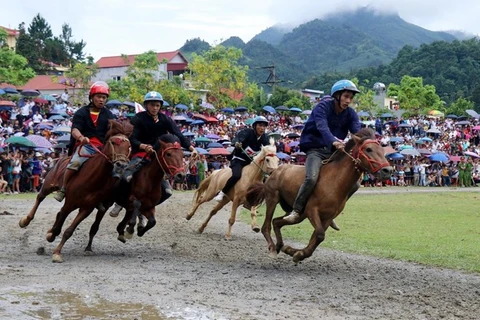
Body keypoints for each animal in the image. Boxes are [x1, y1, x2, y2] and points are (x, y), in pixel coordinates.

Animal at [19, 120, 133, 262]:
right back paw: (25, 220)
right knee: (40, 198)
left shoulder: (87, 208)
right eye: (113, 142)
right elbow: (59, 224)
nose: (121, 165)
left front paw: (57, 249)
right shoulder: (70, 203)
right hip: (48, 185)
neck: (93, 179)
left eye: (129, 146)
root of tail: (61, 158)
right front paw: (53, 240)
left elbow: (69, 230)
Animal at [246, 127, 392, 262]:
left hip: (297, 214)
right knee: (266, 226)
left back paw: (280, 245)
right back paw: (272, 247)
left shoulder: (327, 217)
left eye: (382, 150)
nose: (388, 170)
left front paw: (295, 252)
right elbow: (320, 235)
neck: (335, 181)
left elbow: (316, 238)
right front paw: (297, 253)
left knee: (277, 222)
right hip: (273, 198)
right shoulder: (312, 211)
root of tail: (274, 172)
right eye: (368, 149)